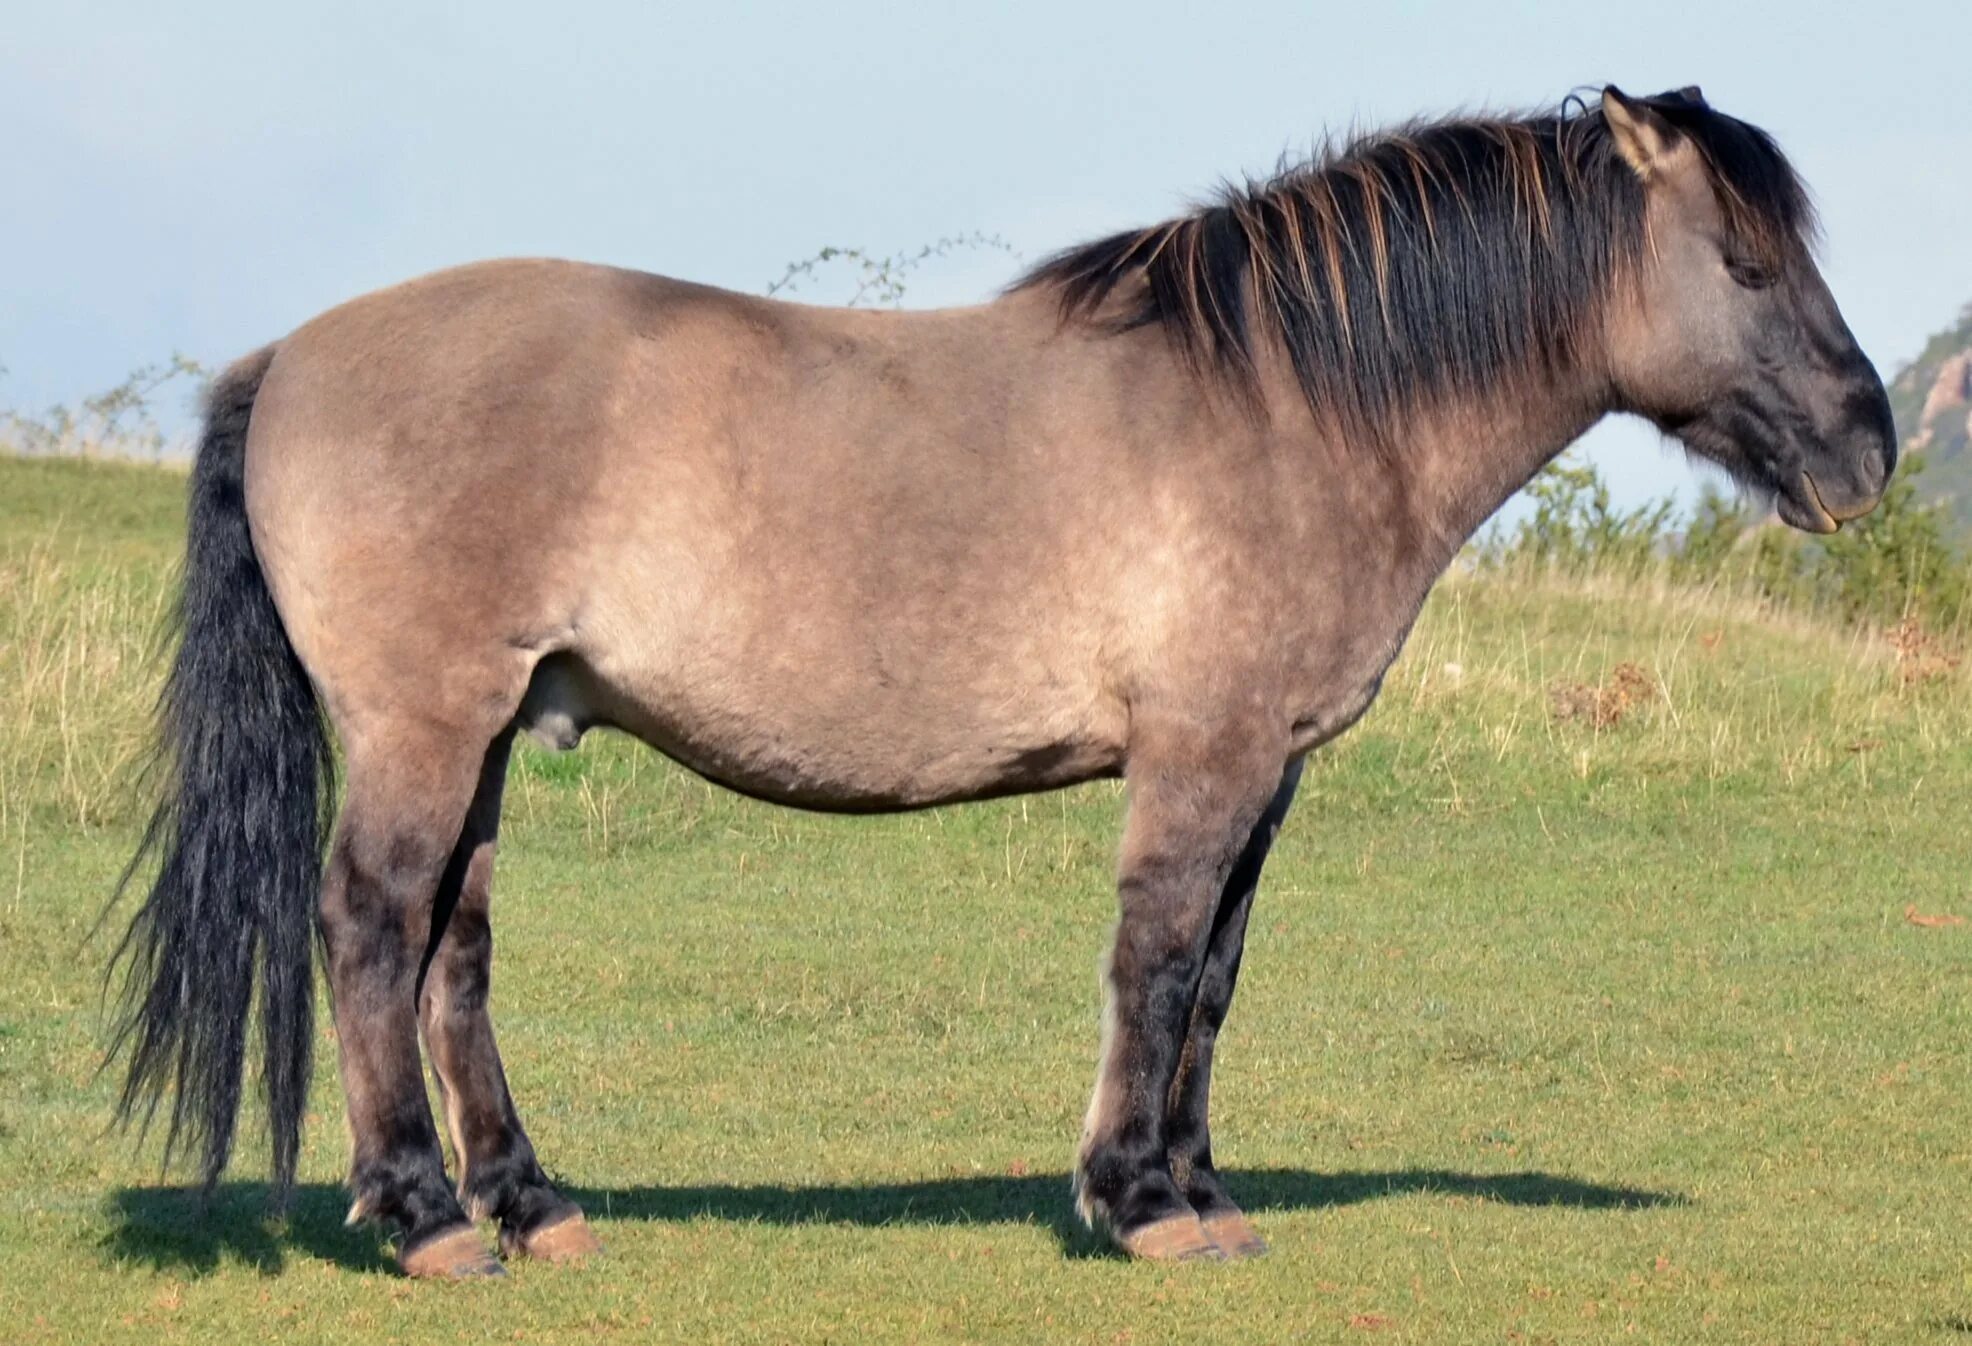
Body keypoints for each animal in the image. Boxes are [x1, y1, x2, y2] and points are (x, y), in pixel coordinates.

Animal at [107, 84, 1893, 1277]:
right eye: (1742, 260)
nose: (1869, 452)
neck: (1288, 402)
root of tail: (288, 356)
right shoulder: (1202, 759)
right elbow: (1155, 960)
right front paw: (1140, 1200)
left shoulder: (1267, 770)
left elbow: (1215, 979)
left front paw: (1203, 1189)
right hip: (424, 727)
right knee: (368, 925)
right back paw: (420, 1216)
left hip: (486, 732)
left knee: (452, 948)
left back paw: (534, 1204)